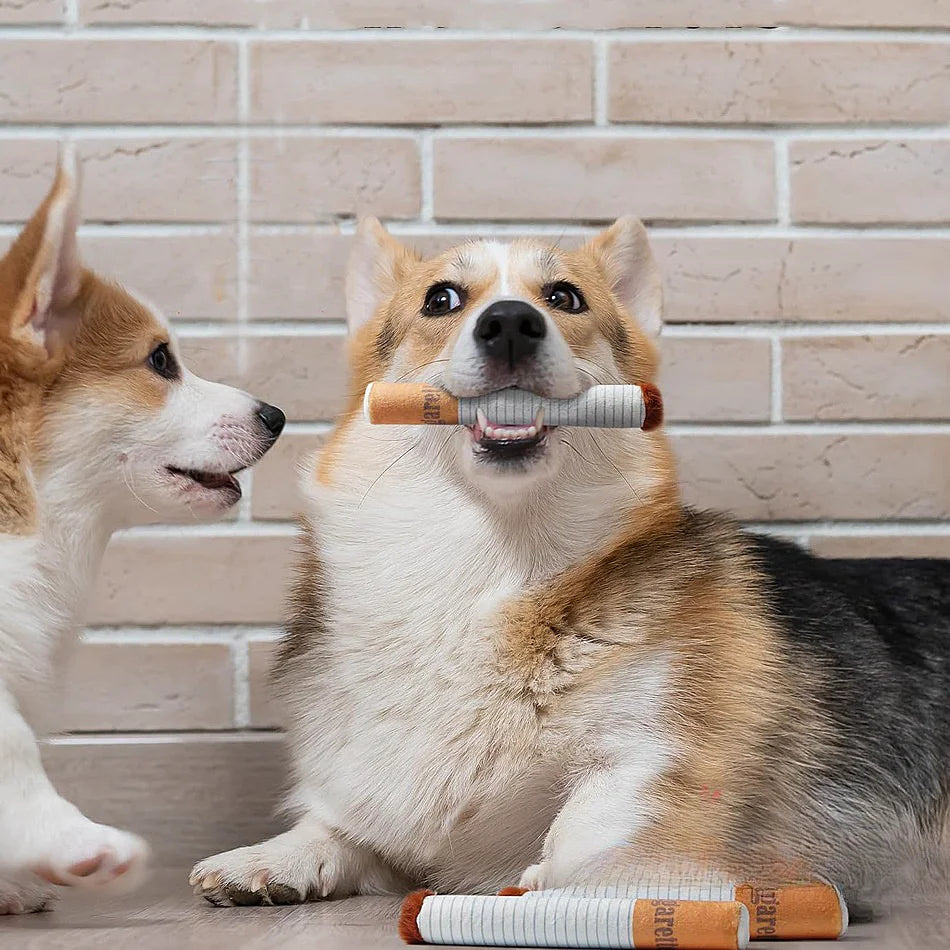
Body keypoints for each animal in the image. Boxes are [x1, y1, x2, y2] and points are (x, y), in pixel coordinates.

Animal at [193, 216, 950, 916]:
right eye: (442, 299)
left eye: (563, 297)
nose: (509, 324)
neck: (489, 562)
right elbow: (340, 826)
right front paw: (269, 858)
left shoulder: (660, 762)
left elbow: (591, 825)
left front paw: (547, 881)